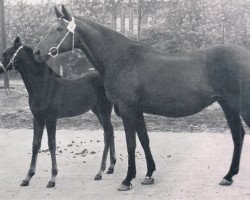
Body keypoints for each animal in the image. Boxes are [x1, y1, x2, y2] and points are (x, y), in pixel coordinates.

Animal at [0, 37, 117, 188]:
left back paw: (100, 171)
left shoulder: (51, 118)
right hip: (97, 110)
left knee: (108, 134)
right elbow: (35, 144)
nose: (0, 69)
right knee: (110, 131)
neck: (44, 86)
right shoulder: (37, 118)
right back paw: (111, 167)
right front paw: (28, 177)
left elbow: (51, 144)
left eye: (6, 53)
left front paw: (52, 178)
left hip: (104, 110)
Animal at [34, 5, 249, 191]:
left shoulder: (127, 109)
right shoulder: (137, 111)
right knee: (237, 134)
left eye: (59, 29)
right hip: (227, 105)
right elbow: (144, 140)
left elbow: (131, 143)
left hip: (241, 106)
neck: (121, 59)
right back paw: (228, 176)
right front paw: (148, 174)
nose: (37, 52)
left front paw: (127, 180)